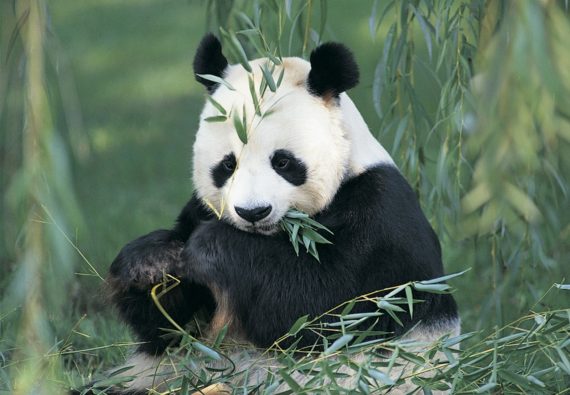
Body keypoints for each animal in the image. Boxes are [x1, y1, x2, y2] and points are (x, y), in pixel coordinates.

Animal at [83, 34, 458, 395]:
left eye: (283, 162)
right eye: (228, 165)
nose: (253, 212)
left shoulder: (380, 220)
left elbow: (322, 308)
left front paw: (211, 246)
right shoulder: (198, 210)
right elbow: (174, 328)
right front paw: (150, 262)